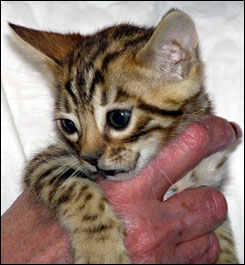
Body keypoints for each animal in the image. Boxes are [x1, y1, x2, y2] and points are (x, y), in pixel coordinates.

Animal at [9, 9, 237, 262]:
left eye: (118, 118)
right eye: (68, 125)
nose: (89, 158)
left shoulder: (209, 180)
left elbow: (223, 236)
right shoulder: (46, 161)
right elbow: (77, 187)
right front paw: (100, 249)